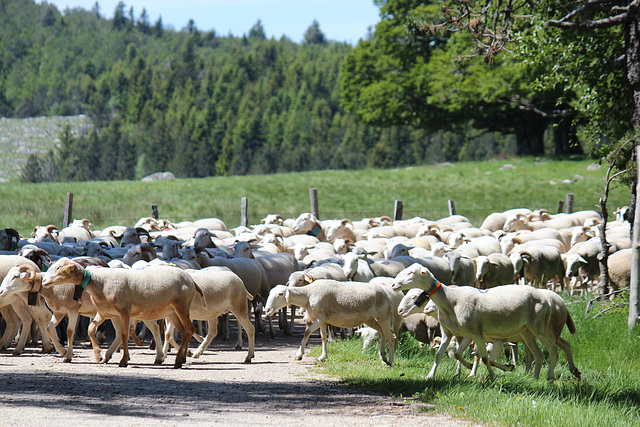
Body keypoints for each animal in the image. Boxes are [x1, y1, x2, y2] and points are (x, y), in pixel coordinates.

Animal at [41, 256, 201, 370]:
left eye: (59, 268)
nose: (44, 281)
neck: (98, 282)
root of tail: (191, 279)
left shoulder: (124, 311)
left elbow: (124, 335)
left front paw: (123, 360)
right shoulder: (108, 314)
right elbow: (93, 330)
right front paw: (99, 354)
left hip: (181, 306)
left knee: (189, 329)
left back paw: (177, 360)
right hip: (172, 312)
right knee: (183, 331)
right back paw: (178, 358)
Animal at [392, 264, 564, 382]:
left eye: (411, 272)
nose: (393, 285)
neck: (450, 299)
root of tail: (545, 298)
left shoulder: (476, 333)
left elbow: (485, 358)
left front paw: (493, 376)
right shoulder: (449, 332)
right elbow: (441, 354)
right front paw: (430, 376)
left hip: (539, 327)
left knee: (553, 348)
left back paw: (550, 377)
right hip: (526, 331)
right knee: (539, 353)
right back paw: (534, 378)